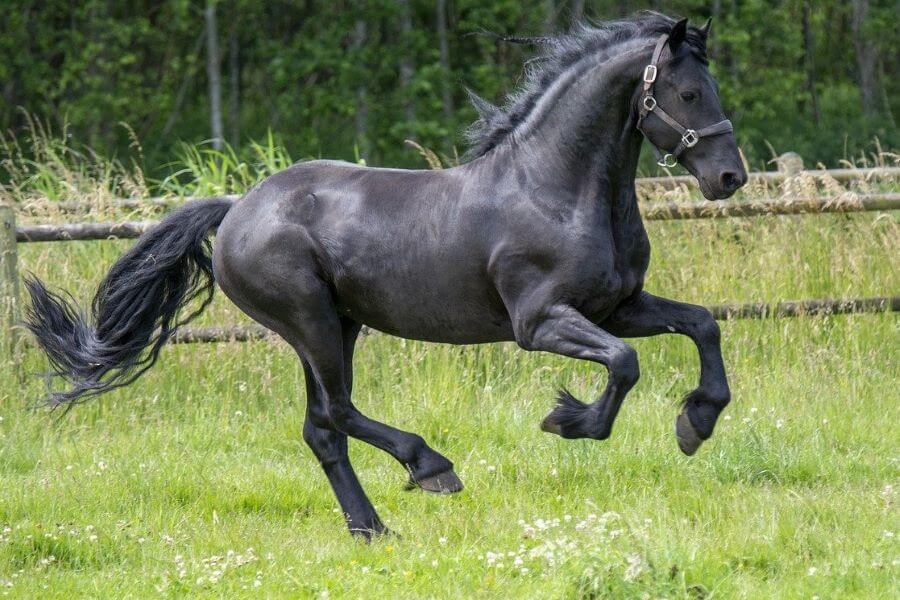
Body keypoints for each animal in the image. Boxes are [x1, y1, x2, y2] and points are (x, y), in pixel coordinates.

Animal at [26, 15, 744, 540]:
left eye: (710, 90)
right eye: (686, 93)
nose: (729, 177)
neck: (554, 189)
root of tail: (236, 209)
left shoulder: (620, 305)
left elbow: (701, 324)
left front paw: (697, 422)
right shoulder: (539, 322)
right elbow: (623, 363)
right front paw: (569, 421)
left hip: (337, 326)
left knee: (321, 428)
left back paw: (371, 528)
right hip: (311, 322)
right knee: (338, 412)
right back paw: (431, 468)